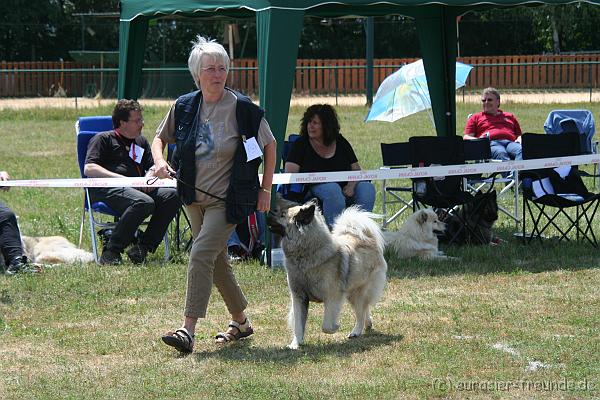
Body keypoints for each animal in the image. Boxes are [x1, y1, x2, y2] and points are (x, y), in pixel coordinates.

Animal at [268, 198, 390, 348]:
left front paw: (335, 327)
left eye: (283, 215)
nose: (268, 211)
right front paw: (295, 344)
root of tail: (367, 239)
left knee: (361, 312)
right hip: (353, 292)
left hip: (359, 292)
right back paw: (368, 324)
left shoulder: (332, 297)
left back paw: (356, 331)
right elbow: (298, 324)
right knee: (364, 308)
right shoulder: (298, 297)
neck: (306, 254)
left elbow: (326, 325)